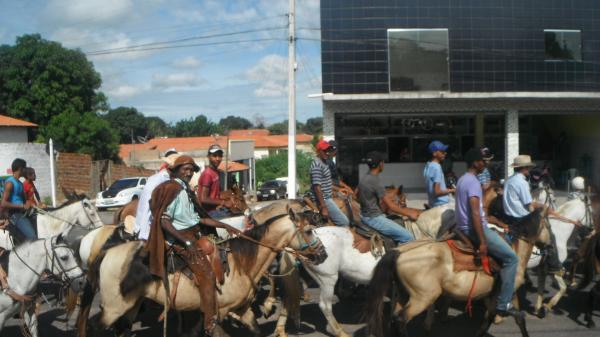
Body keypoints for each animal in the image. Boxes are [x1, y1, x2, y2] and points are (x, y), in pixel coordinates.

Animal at [88, 200, 326, 336]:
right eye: (308, 231)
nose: (323, 254)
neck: (242, 265)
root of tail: (108, 252)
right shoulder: (217, 313)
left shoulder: (243, 310)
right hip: (113, 307)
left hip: (130, 306)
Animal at [364, 207, 552, 336]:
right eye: (549, 226)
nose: (550, 247)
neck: (515, 250)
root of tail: (398, 252)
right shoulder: (504, 293)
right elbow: (514, 318)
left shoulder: (497, 297)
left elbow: (502, 321)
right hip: (422, 298)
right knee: (401, 320)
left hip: (403, 295)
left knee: (394, 319)